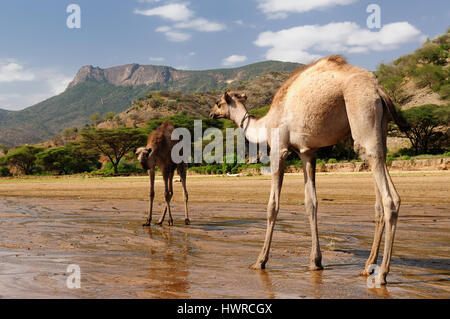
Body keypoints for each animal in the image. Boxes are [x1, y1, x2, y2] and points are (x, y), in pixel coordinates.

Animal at [209, 54, 406, 284]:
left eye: (218, 102)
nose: (211, 113)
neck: (266, 123)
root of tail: (379, 90)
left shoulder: (280, 149)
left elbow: (272, 206)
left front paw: (260, 261)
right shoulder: (307, 152)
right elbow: (311, 203)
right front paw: (315, 261)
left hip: (362, 112)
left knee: (388, 197)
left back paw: (382, 273)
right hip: (380, 129)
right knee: (382, 192)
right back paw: (368, 266)